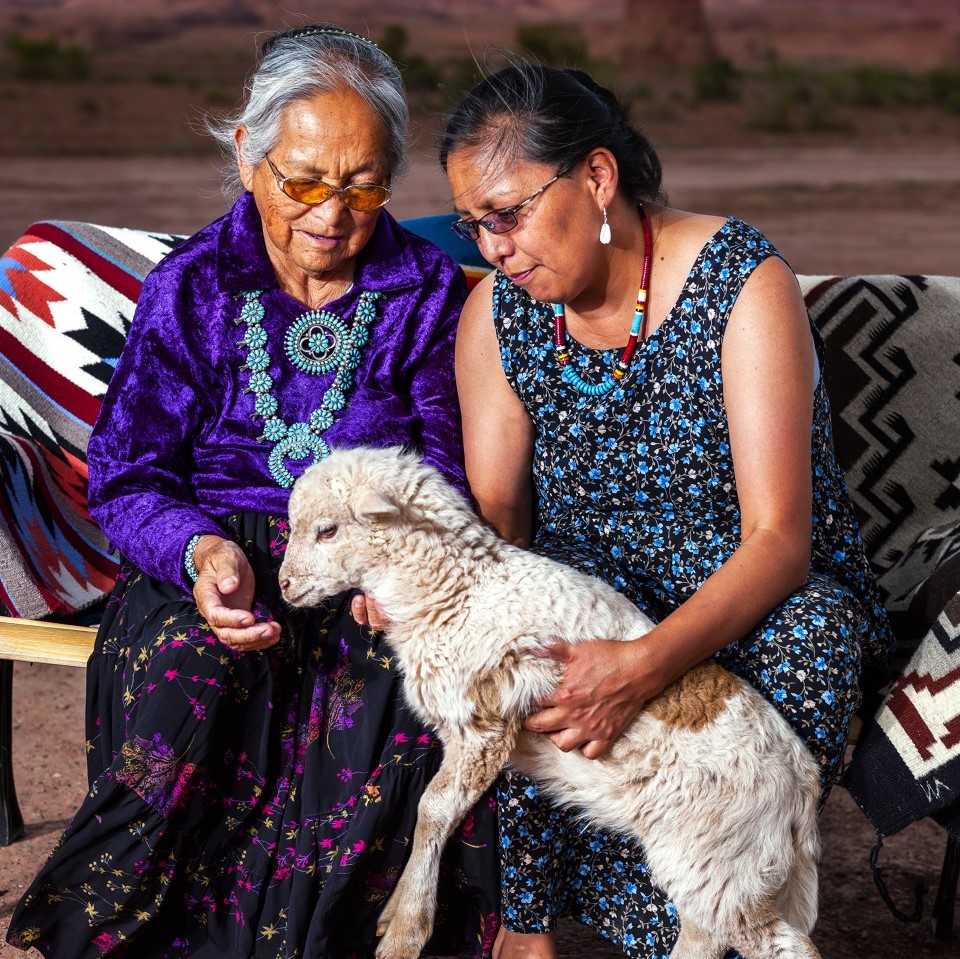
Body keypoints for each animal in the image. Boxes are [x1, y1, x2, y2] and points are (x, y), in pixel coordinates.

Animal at [280, 448, 824, 959]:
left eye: (327, 530)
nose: (284, 585)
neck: (460, 590)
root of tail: (802, 779)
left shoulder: (485, 725)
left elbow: (432, 809)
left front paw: (406, 933)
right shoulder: (459, 732)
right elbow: (434, 813)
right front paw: (396, 914)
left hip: (718, 853)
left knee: (782, 944)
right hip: (713, 863)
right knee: (705, 936)